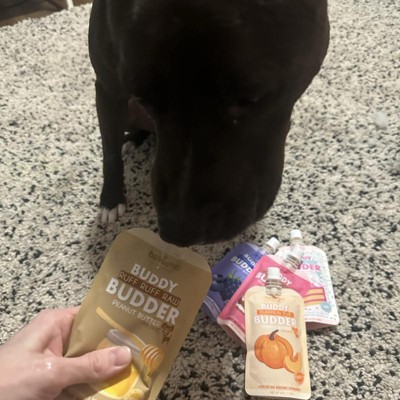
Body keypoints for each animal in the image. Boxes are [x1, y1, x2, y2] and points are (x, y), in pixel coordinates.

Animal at [89, 0, 329, 246]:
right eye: (141, 96)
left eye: (251, 96)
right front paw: (110, 200)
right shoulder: (108, 90)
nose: (177, 232)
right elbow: (109, 152)